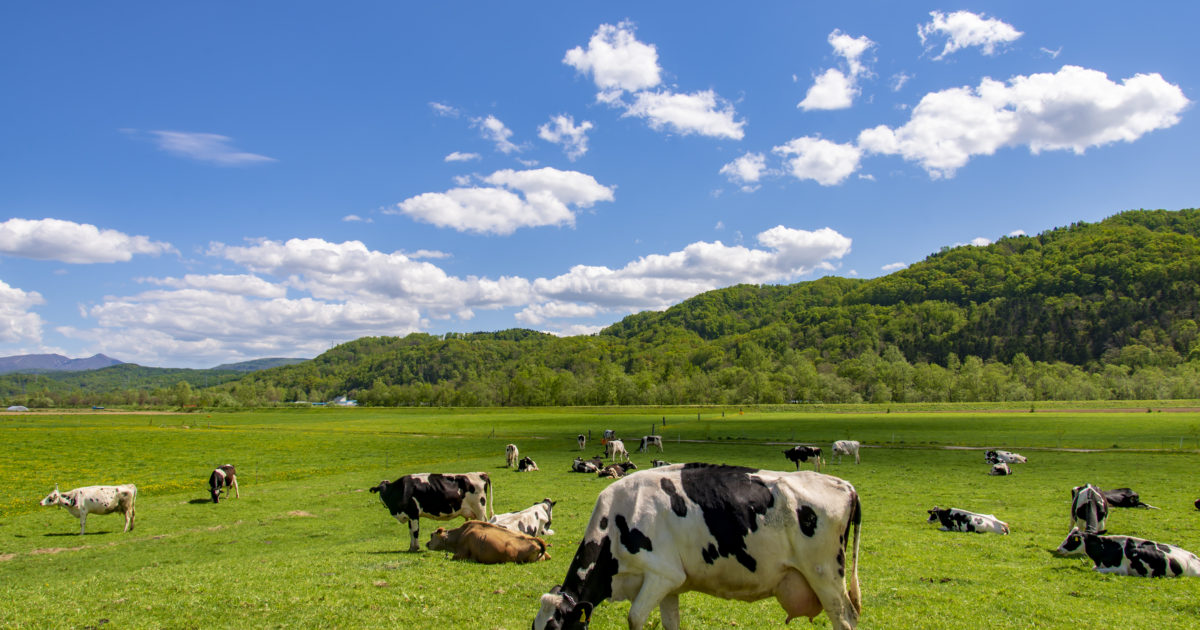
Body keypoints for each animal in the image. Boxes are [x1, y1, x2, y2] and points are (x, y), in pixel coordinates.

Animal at [530, 460, 859, 628]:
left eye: (555, 628)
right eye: (535, 626)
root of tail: (843, 484)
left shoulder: (659, 574)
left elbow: (634, 618)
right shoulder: (670, 584)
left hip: (825, 575)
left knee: (845, 619)